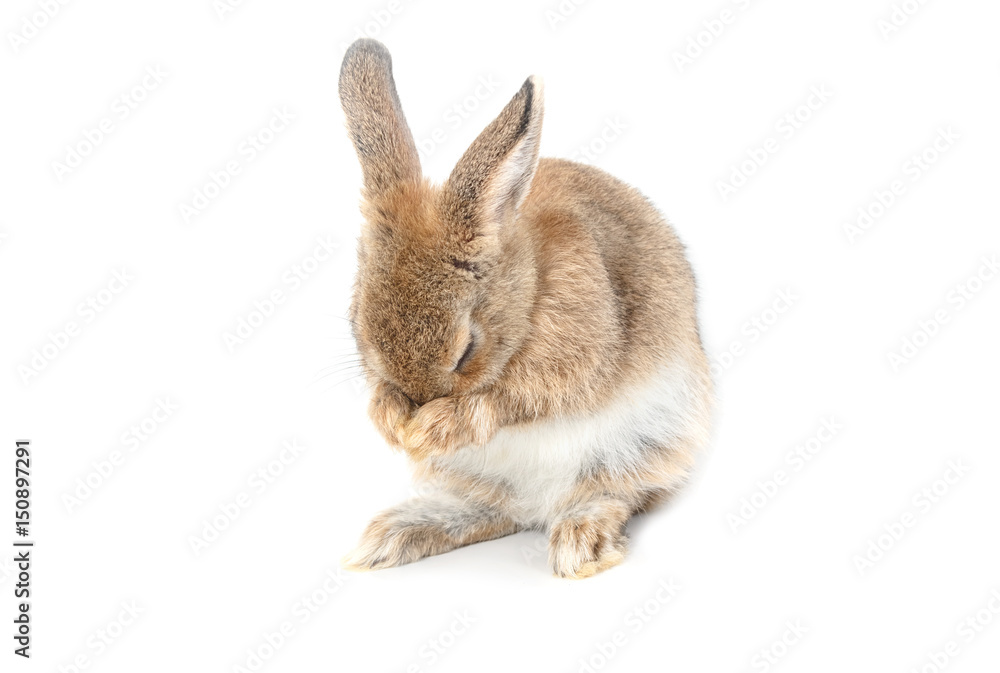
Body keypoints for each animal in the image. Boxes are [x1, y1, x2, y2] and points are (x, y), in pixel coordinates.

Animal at [338, 38, 713, 578]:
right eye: (359, 326)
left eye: (466, 350)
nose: (417, 404)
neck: (528, 288)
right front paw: (390, 419)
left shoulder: (569, 357)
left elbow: (510, 400)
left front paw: (434, 426)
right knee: (500, 509)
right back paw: (394, 537)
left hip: (642, 443)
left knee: (610, 495)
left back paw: (581, 545)